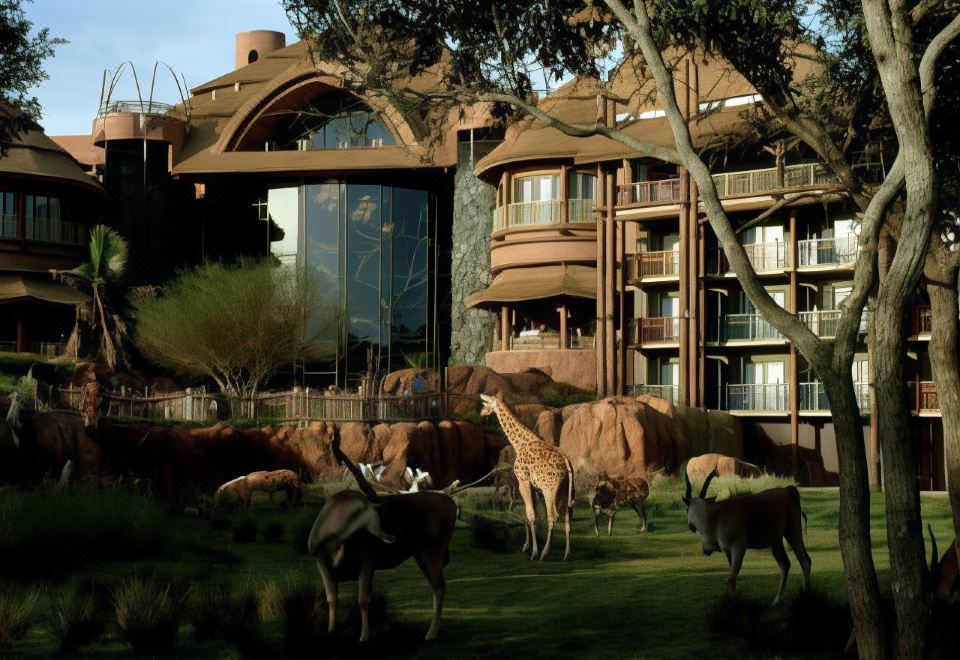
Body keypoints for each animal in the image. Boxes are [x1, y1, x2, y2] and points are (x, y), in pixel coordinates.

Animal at [308, 426, 458, 640]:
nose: (389, 537)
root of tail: (450, 503)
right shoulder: (322, 564)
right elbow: (331, 599)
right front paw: (330, 632)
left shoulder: (368, 562)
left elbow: (363, 600)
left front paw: (364, 636)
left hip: (431, 555)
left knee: (439, 588)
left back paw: (431, 633)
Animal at [478, 394, 572, 560]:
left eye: (486, 403)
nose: (481, 413)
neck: (520, 443)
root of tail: (567, 463)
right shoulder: (533, 487)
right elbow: (530, 514)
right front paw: (527, 546)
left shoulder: (523, 481)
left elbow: (530, 515)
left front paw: (533, 551)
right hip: (565, 490)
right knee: (567, 518)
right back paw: (567, 554)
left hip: (549, 490)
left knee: (552, 518)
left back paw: (544, 553)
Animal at [684, 464, 808, 604]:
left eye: (687, 509)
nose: (690, 525)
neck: (717, 516)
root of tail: (788, 490)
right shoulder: (728, 551)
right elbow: (732, 577)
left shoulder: (739, 547)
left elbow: (731, 578)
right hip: (776, 541)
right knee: (785, 564)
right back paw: (776, 601)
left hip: (793, 532)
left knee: (805, 560)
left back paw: (807, 595)